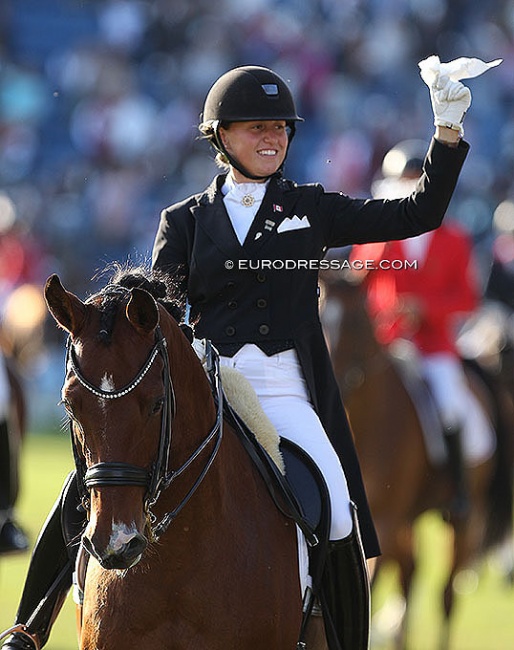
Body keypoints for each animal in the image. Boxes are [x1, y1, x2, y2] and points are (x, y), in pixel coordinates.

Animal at [318, 268, 510, 648]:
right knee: (411, 573)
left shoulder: (385, 520)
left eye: (357, 322)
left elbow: (371, 584)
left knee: (446, 594)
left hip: (464, 519)